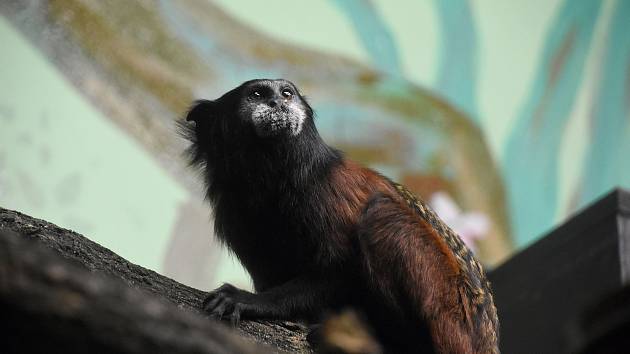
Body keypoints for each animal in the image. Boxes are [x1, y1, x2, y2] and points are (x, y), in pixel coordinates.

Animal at [181, 79, 498, 352]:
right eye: (257, 94)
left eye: (286, 94)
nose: (277, 102)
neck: (271, 176)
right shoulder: (233, 211)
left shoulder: (326, 191)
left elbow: (339, 270)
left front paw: (251, 301)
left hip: (449, 311)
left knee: (383, 216)